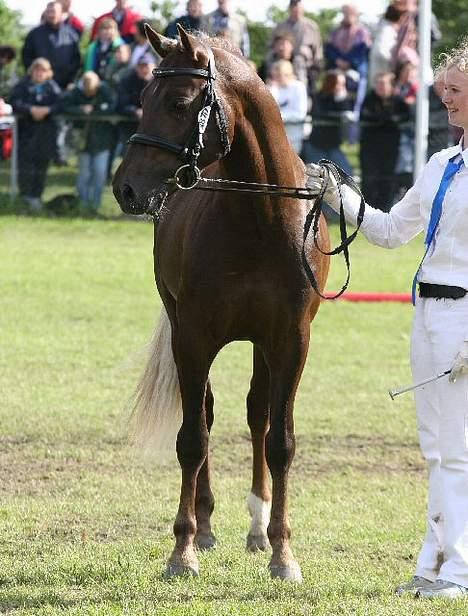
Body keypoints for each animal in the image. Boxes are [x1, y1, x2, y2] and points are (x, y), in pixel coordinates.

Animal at [112, 25, 330, 584]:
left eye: (178, 102)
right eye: (142, 99)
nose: (125, 188)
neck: (260, 216)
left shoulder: (291, 341)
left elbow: (280, 441)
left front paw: (282, 553)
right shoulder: (193, 338)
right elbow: (192, 438)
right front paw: (183, 549)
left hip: (261, 344)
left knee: (257, 416)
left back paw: (257, 529)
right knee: (207, 417)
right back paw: (207, 527)